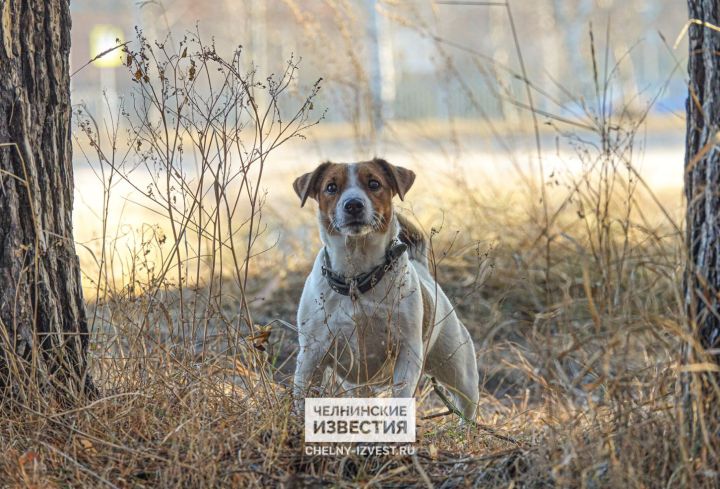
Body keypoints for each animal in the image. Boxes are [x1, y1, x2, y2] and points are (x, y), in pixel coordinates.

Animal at [290, 158, 480, 418]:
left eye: (374, 183)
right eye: (331, 187)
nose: (353, 205)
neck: (357, 281)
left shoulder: (407, 352)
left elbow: (400, 396)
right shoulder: (312, 354)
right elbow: (303, 395)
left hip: (458, 370)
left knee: (467, 404)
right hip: (359, 385)